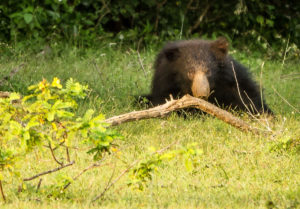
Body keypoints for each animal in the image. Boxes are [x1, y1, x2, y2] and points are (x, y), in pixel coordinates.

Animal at [142, 37, 274, 114]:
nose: (202, 94)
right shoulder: (165, 85)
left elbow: (249, 99)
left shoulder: (234, 81)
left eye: (208, 72)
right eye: (190, 72)